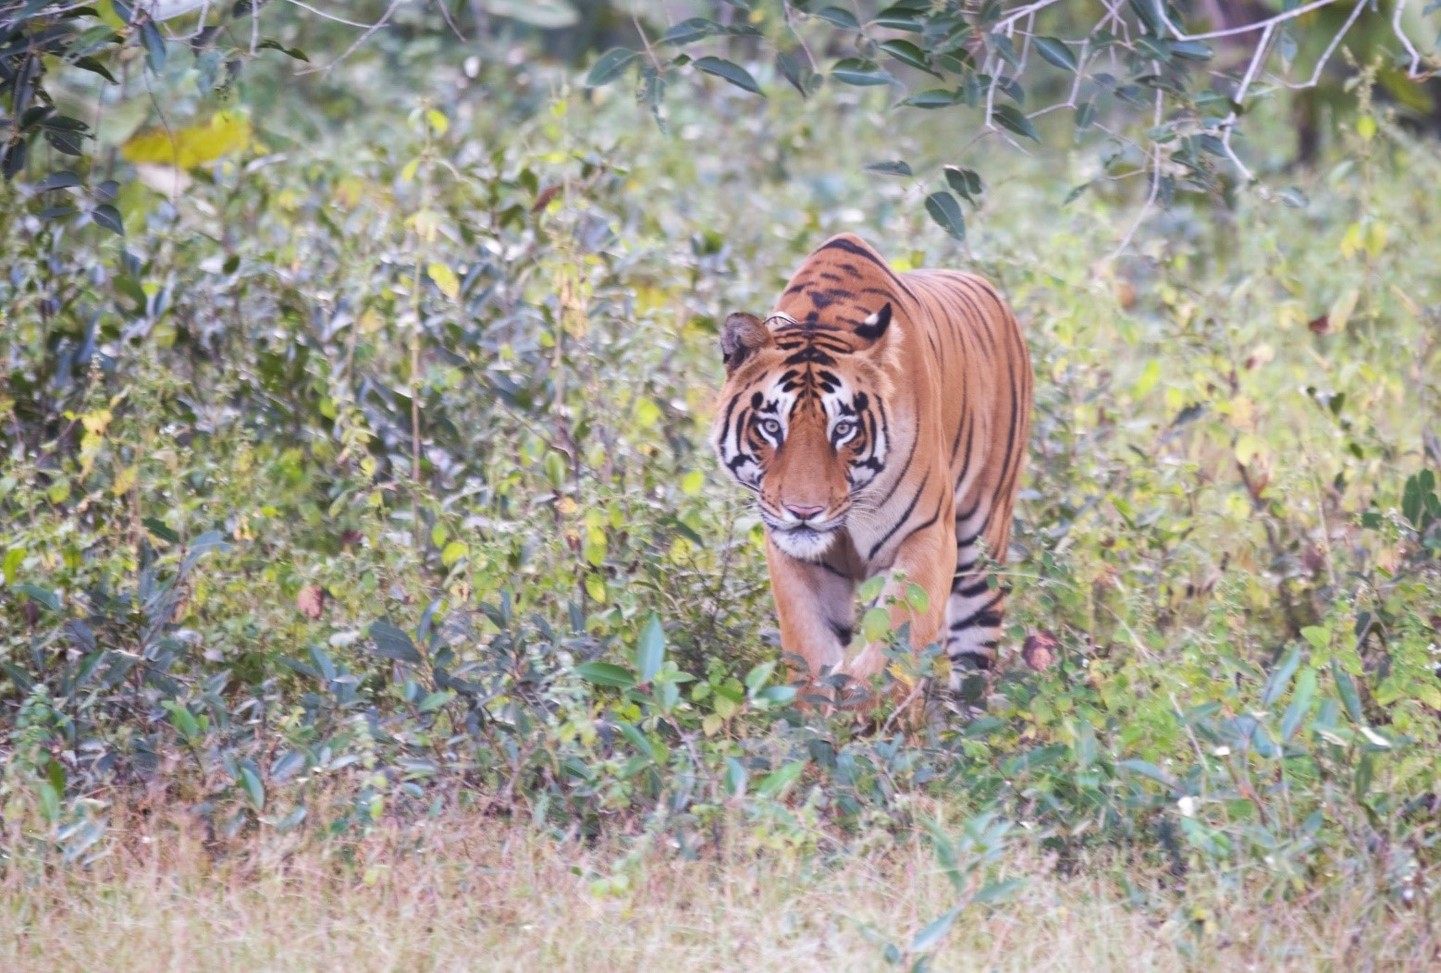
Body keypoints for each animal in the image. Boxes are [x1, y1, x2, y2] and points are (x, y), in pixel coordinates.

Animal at [712, 233, 1033, 707]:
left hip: (981, 546)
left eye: (843, 429)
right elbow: (810, 648)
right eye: (771, 426)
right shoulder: (794, 553)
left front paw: (865, 710)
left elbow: (895, 637)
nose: (803, 512)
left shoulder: (927, 535)